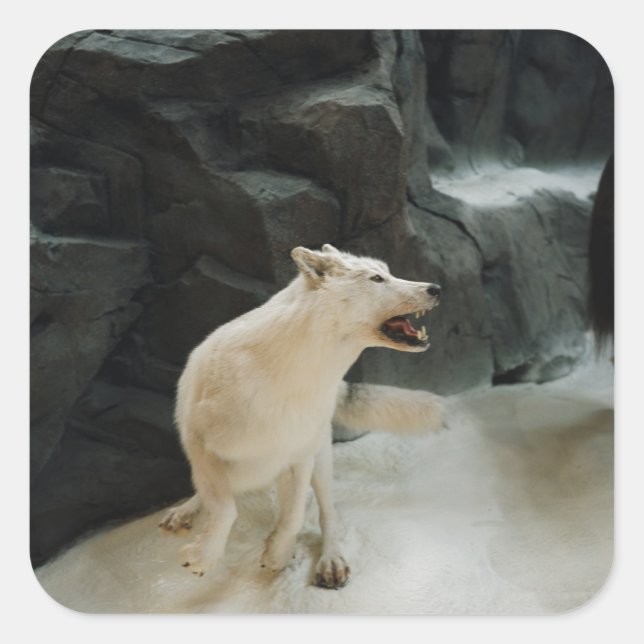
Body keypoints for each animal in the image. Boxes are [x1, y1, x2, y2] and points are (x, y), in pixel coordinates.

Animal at [159, 244, 444, 588]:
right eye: (377, 278)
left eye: (388, 272)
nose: (436, 288)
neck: (293, 381)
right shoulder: (201, 447)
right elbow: (225, 509)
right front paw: (204, 556)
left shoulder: (300, 457)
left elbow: (294, 517)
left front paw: (277, 553)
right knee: (212, 493)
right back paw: (184, 512)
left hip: (321, 460)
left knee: (327, 514)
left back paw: (330, 560)